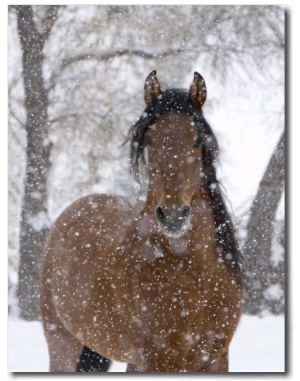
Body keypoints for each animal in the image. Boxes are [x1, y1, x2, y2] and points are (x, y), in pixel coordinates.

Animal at [39, 70, 243, 370]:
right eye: (150, 140)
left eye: (197, 140)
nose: (173, 215)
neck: (194, 277)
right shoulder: (157, 360)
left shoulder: (216, 359)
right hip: (63, 345)